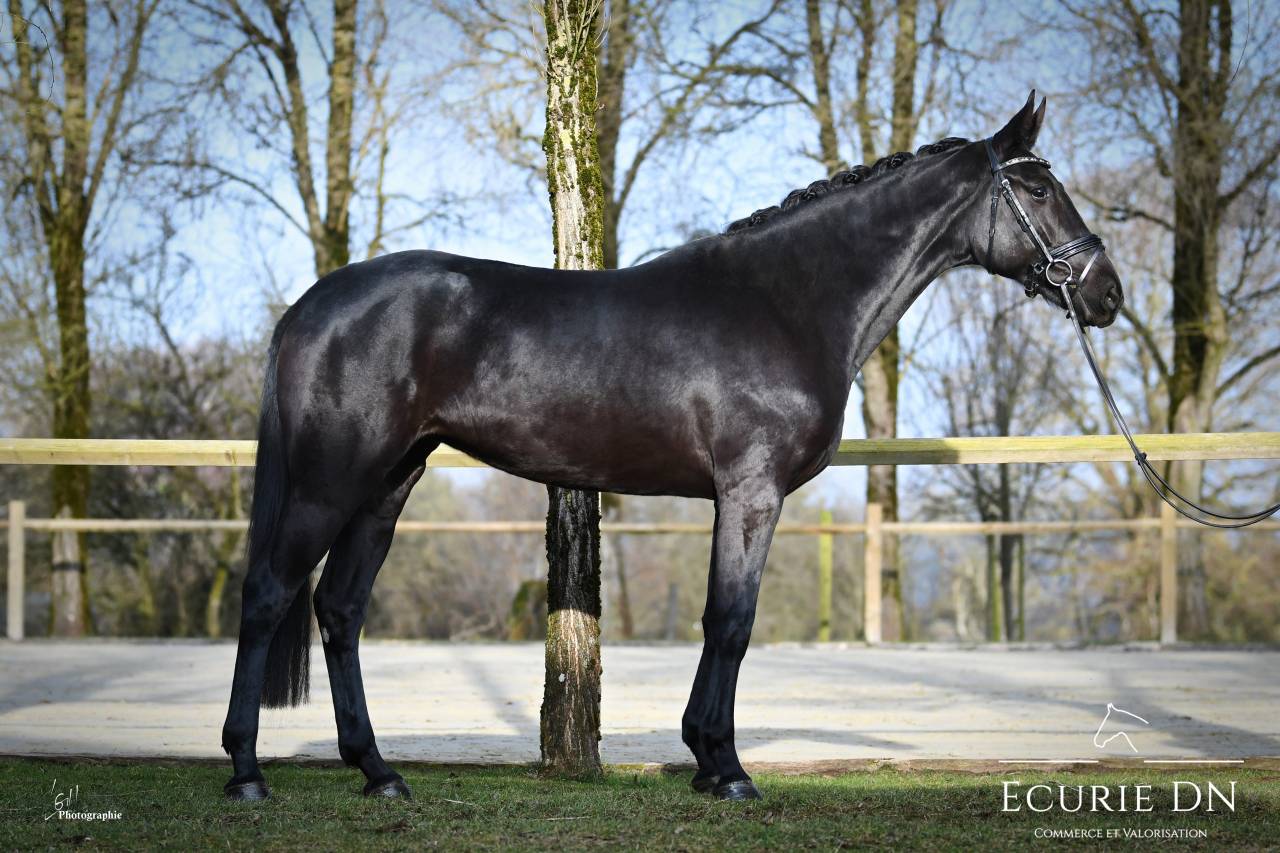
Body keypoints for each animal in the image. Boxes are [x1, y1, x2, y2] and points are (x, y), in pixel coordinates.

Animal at [220, 92, 1124, 802]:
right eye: (1037, 186)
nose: (1107, 294)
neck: (787, 300)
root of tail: (311, 304)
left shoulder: (738, 495)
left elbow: (720, 619)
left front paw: (705, 757)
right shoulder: (752, 491)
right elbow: (732, 620)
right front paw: (726, 767)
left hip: (388, 481)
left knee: (339, 609)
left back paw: (378, 770)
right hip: (332, 479)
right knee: (267, 593)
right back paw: (247, 771)